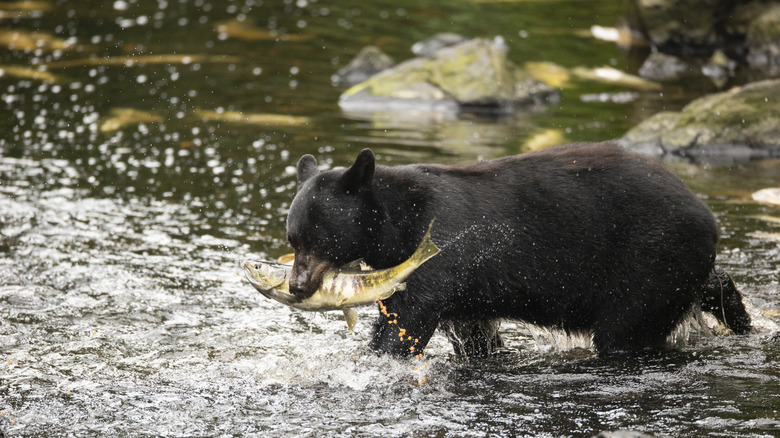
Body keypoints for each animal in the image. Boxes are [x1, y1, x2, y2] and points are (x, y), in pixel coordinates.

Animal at [285, 141, 751, 357]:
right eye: (293, 239)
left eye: (317, 239)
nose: (297, 287)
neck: (396, 223)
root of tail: (707, 215)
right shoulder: (468, 294)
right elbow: (475, 336)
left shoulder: (441, 252)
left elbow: (405, 323)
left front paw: (379, 355)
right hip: (675, 265)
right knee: (708, 284)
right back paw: (741, 319)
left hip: (647, 262)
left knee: (625, 330)